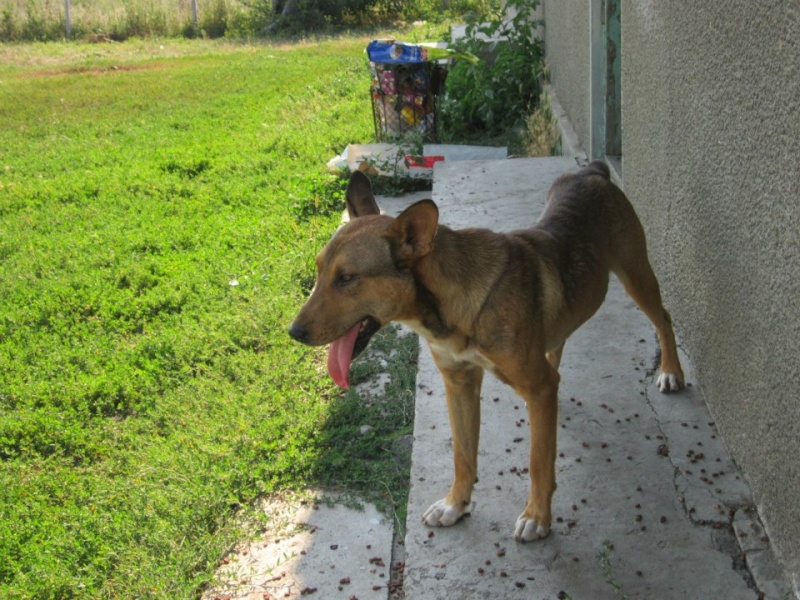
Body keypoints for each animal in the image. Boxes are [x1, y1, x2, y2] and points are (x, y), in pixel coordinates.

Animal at [290, 162, 684, 540]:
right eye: (320, 270)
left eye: (348, 278)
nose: (294, 332)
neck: (449, 307)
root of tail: (592, 171)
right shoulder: (459, 383)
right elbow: (463, 456)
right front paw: (455, 505)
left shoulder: (532, 386)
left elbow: (538, 462)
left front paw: (537, 517)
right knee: (557, 348)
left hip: (636, 274)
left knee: (664, 318)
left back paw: (671, 371)